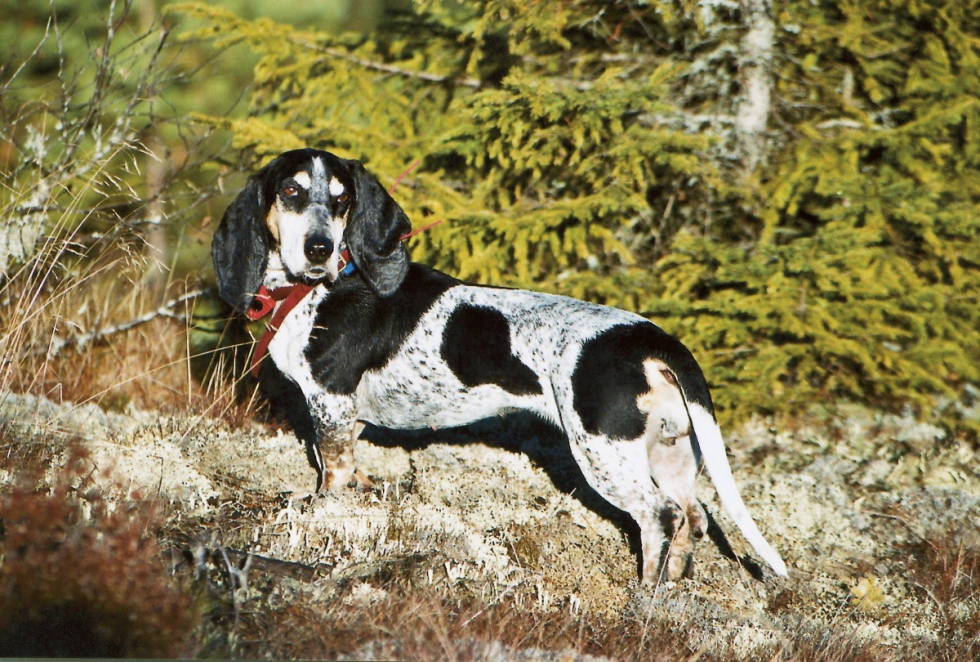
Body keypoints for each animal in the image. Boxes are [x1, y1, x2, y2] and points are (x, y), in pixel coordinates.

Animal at [211, 149, 784, 588]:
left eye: (341, 200)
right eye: (290, 191)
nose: (320, 248)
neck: (316, 290)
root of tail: (653, 340)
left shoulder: (328, 405)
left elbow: (332, 475)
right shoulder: (345, 419)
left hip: (604, 453)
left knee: (660, 516)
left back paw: (641, 600)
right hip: (672, 450)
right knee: (694, 515)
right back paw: (671, 590)